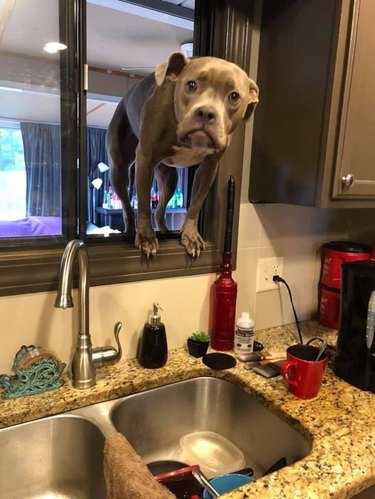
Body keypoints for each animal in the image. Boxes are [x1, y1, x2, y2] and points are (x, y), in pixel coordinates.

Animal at [106, 51, 258, 258]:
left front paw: (190, 236)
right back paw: (131, 230)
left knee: (159, 211)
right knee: (128, 207)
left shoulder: (209, 167)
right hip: (119, 170)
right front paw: (146, 238)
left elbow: (195, 204)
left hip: (169, 178)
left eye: (234, 96)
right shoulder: (145, 158)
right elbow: (143, 203)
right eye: (191, 85)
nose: (206, 112)